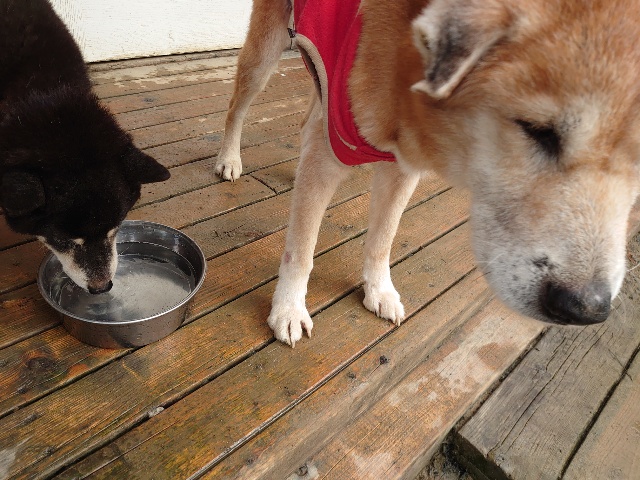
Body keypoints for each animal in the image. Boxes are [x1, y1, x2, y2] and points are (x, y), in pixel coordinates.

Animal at [217, 0, 640, 346]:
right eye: (537, 130)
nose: (586, 309)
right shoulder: (327, 157)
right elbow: (301, 250)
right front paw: (289, 308)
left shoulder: (402, 169)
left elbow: (382, 239)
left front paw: (379, 291)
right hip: (264, 54)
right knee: (236, 107)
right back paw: (229, 159)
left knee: (307, 122)